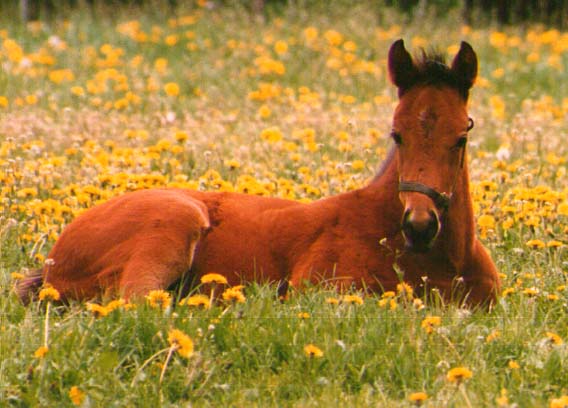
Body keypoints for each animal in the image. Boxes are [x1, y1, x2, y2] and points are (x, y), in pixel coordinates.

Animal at [15, 39, 500, 306]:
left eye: (462, 136)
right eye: (397, 134)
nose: (420, 224)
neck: (438, 262)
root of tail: (55, 257)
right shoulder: (319, 286)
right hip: (174, 224)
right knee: (139, 300)